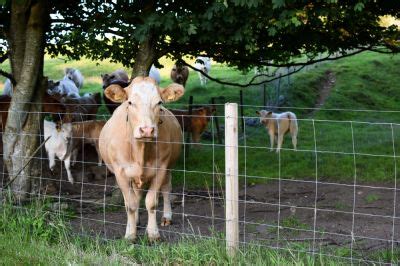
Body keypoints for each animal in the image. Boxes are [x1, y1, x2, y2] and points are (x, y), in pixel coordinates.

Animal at [99, 76, 184, 241]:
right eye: (130, 102)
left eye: (159, 102)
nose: (147, 130)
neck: (141, 151)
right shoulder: (121, 173)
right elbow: (130, 204)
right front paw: (130, 234)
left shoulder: (161, 168)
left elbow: (151, 202)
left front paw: (153, 233)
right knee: (136, 196)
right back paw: (136, 221)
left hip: (168, 167)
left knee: (166, 189)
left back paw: (167, 217)